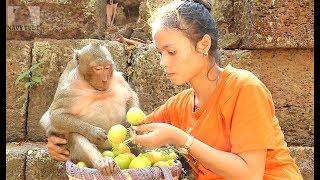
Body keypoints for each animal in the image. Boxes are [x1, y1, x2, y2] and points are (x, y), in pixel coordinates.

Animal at [39, 41, 139, 176]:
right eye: (97, 69)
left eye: (107, 67)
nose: (105, 79)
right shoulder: (69, 88)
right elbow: (56, 116)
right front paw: (94, 132)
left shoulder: (119, 79)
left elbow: (131, 96)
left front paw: (132, 126)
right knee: (75, 134)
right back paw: (102, 162)